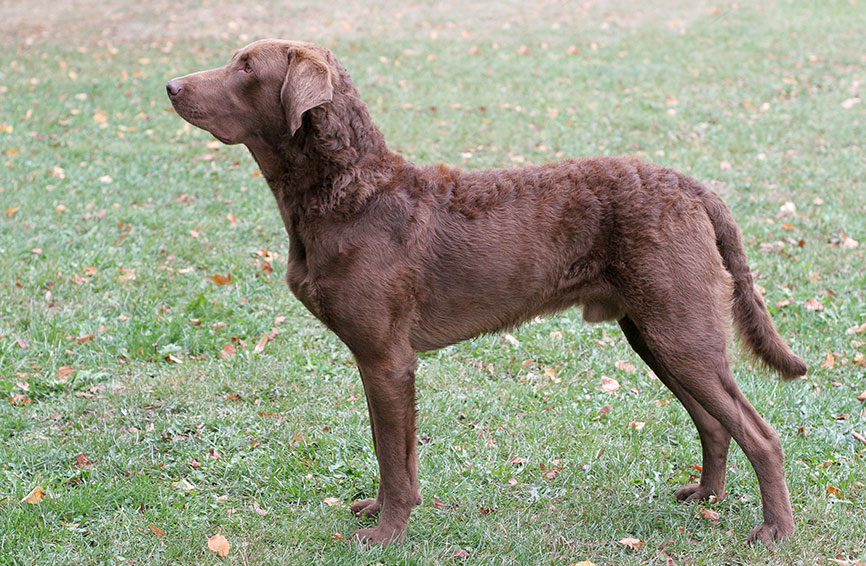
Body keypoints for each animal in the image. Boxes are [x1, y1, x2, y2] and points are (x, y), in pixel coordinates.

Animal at [167, 38, 804, 544]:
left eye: (246, 67)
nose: (170, 85)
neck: (350, 192)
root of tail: (695, 187)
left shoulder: (386, 357)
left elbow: (392, 456)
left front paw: (385, 535)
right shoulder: (382, 362)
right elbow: (391, 450)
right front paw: (381, 512)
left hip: (680, 329)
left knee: (761, 434)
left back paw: (775, 530)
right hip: (655, 331)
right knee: (715, 423)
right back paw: (707, 499)